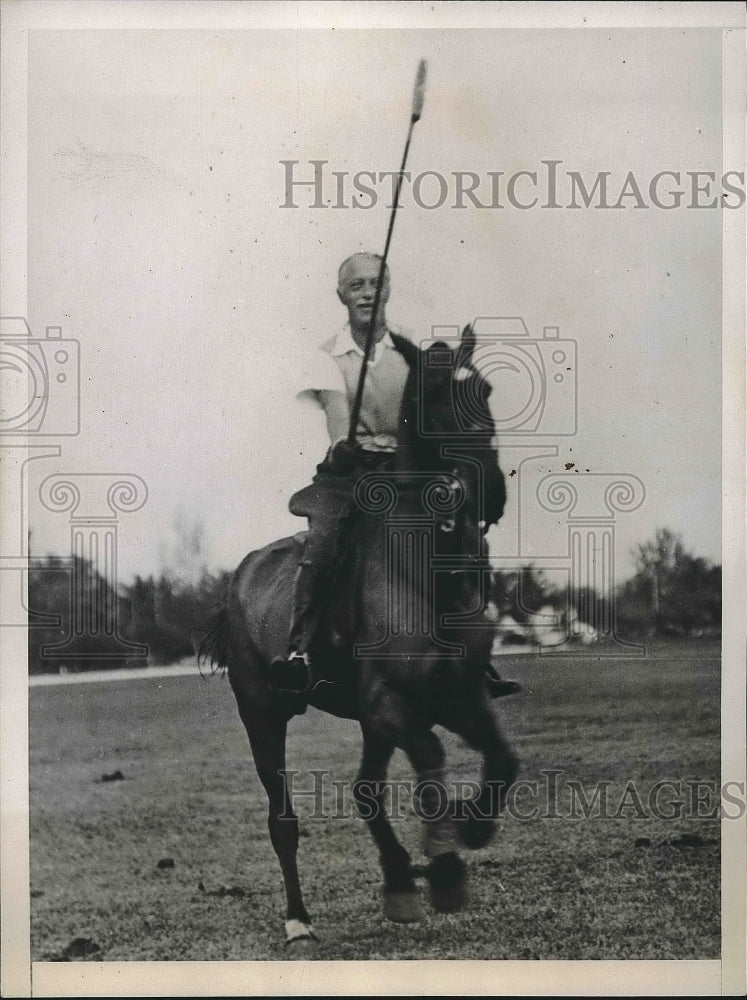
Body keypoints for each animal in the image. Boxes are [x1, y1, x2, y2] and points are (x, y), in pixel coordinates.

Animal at [202, 324, 524, 948]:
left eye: (486, 390)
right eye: (431, 399)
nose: (491, 491)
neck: (428, 570)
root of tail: (241, 574)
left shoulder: (458, 695)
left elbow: (503, 759)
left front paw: (470, 830)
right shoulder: (387, 704)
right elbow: (427, 755)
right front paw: (446, 864)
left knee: (366, 788)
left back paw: (400, 879)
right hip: (263, 713)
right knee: (284, 819)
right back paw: (299, 919)